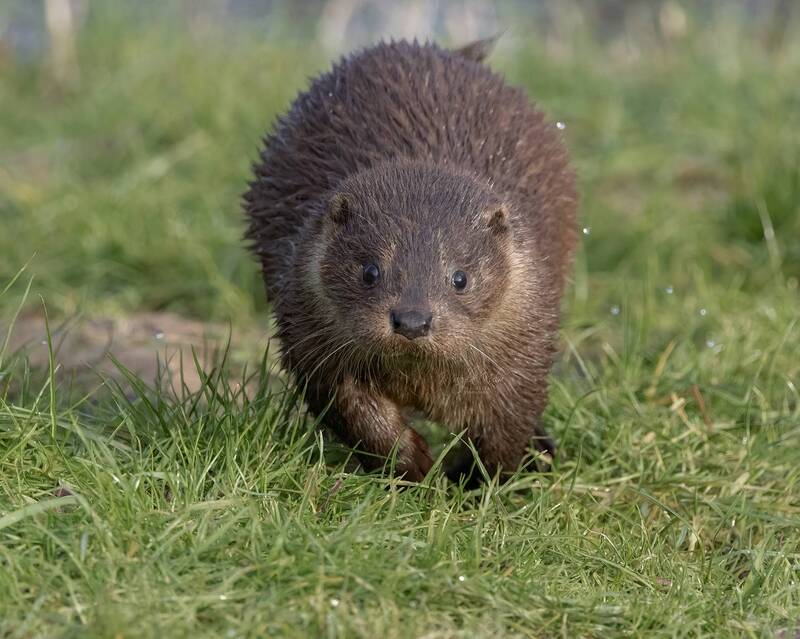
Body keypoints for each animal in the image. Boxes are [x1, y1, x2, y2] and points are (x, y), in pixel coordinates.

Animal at [244, 38, 577, 483]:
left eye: (460, 277)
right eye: (369, 271)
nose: (413, 320)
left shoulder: (525, 347)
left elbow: (506, 428)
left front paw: (479, 481)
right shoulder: (309, 335)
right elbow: (355, 412)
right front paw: (411, 464)